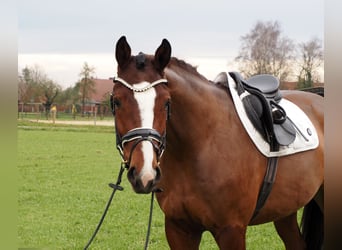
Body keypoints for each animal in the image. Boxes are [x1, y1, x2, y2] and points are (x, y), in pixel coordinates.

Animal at [112, 36, 324, 249]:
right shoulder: (178, 229)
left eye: (166, 102)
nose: (144, 174)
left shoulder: (231, 230)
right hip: (285, 210)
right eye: (116, 102)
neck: (199, 146)